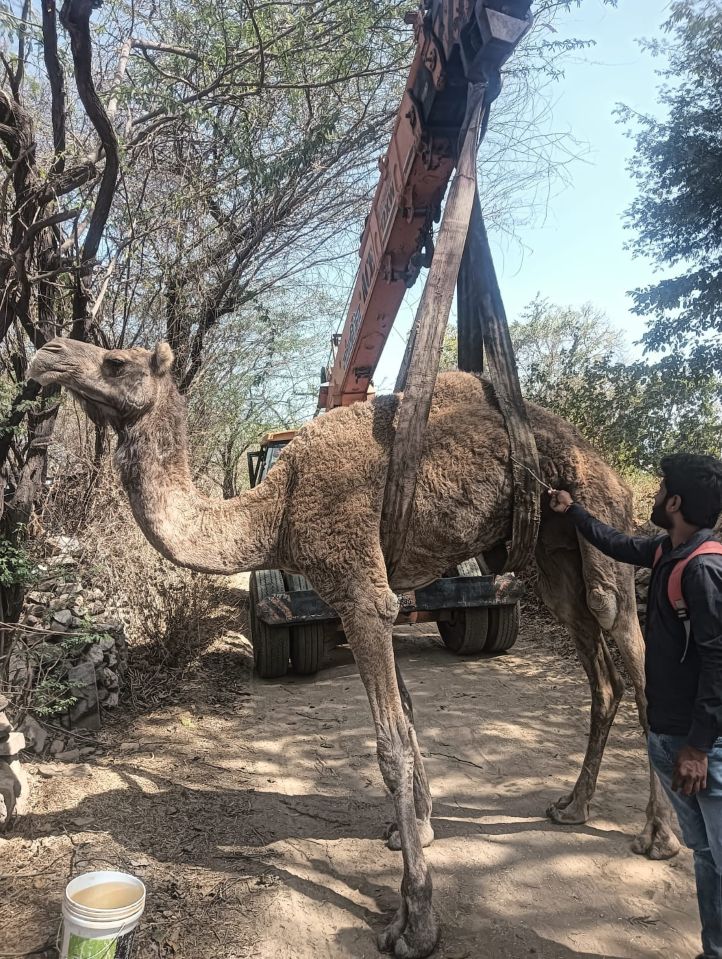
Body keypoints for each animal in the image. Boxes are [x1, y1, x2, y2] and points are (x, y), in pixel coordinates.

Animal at [28, 337, 679, 959]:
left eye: (116, 362)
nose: (46, 355)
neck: (276, 512)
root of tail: (606, 463)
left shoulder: (362, 595)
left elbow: (390, 747)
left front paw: (414, 923)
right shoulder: (371, 595)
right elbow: (409, 723)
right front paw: (418, 829)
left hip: (604, 521)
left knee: (628, 642)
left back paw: (659, 836)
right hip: (553, 550)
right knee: (600, 669)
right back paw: (572, 806)